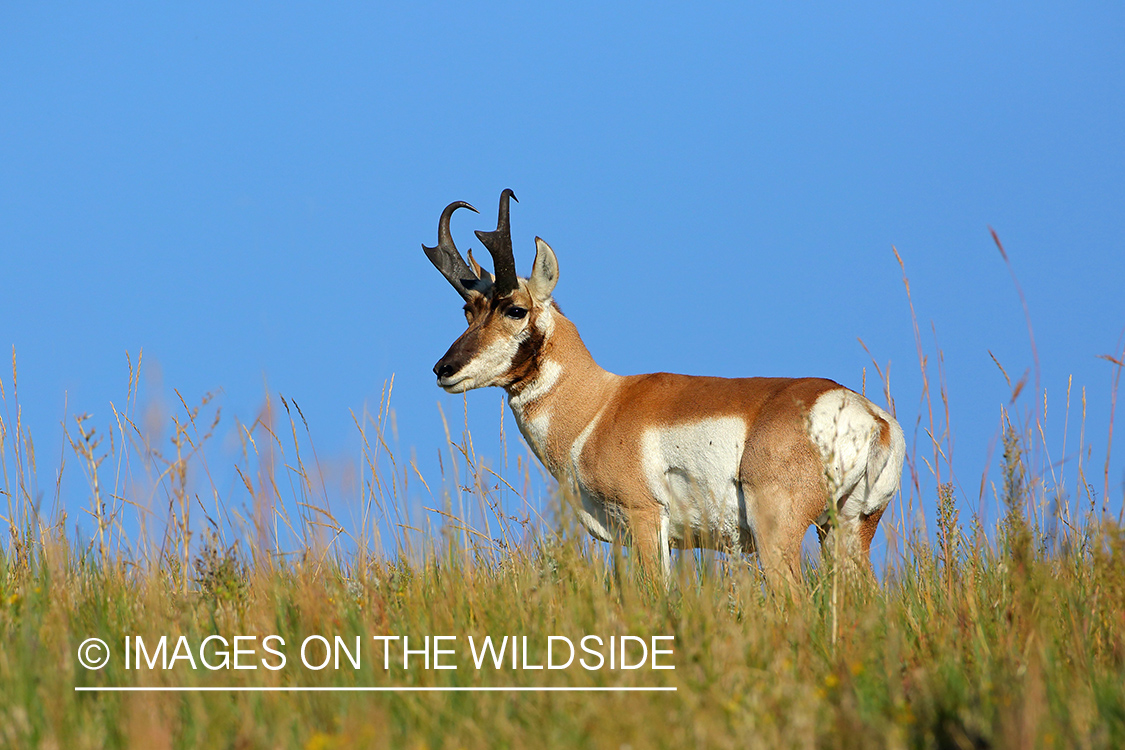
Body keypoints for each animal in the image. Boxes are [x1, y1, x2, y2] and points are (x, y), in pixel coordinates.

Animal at [424, 190, 905, 588]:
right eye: (469, 310)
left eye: (515, 310)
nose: (444, 369)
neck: (600, 405)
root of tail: (871, 418)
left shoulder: (646, 519)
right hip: (846, 530)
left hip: (779, 533)